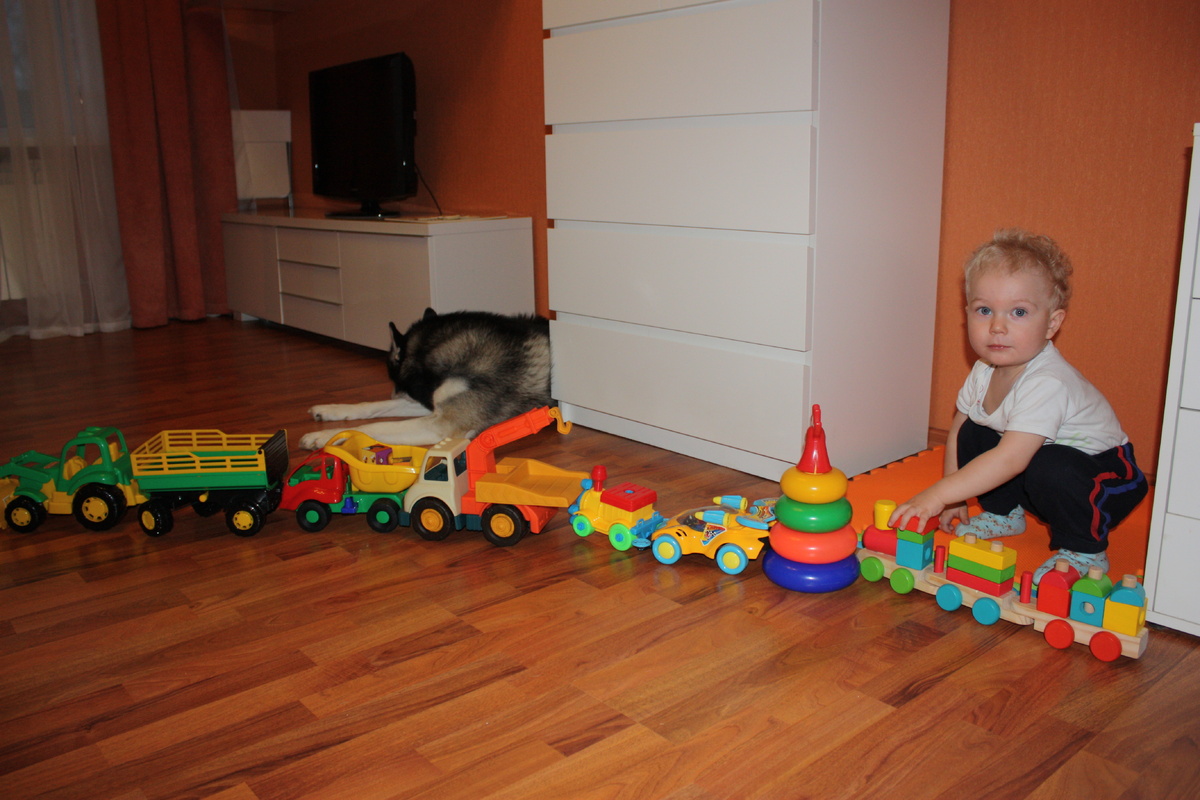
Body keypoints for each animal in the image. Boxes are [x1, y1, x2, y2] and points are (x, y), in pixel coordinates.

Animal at [299, 309, 551, 450]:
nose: (393, 393)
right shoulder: (432, 401)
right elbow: (372, 406)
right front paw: (330, 409)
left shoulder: (443, 423)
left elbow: (373, 427)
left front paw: (323, 436)